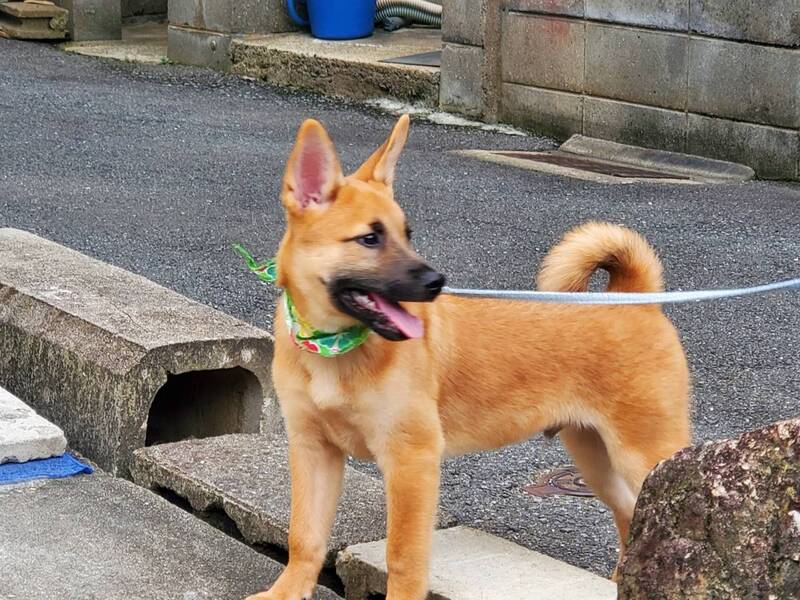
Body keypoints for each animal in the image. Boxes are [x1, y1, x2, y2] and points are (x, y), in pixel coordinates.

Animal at [246, 115, 691, 600]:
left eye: (407, 234)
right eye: (369, 238)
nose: (436, 281)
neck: (336, 348)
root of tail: (636, 297)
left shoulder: (412, 459)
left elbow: (403, 558)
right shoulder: (313, 450)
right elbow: (304, 536)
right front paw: (286, 593)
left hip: (645, 454)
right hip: (596, 458)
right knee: (632, 513)